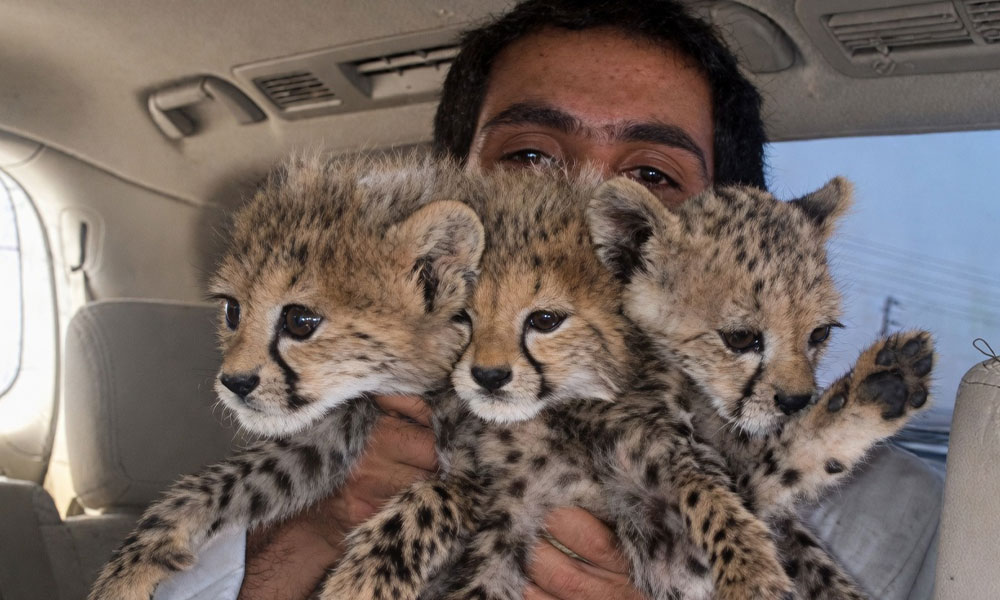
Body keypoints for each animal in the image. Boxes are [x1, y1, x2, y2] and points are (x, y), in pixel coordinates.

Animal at [88, 152, 485, 600]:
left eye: (300, 320)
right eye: (232, 311)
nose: (235, 383)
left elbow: (426, 505)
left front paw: (355, 587)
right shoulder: (330, 431)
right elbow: (227, 479)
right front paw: (130, 567)